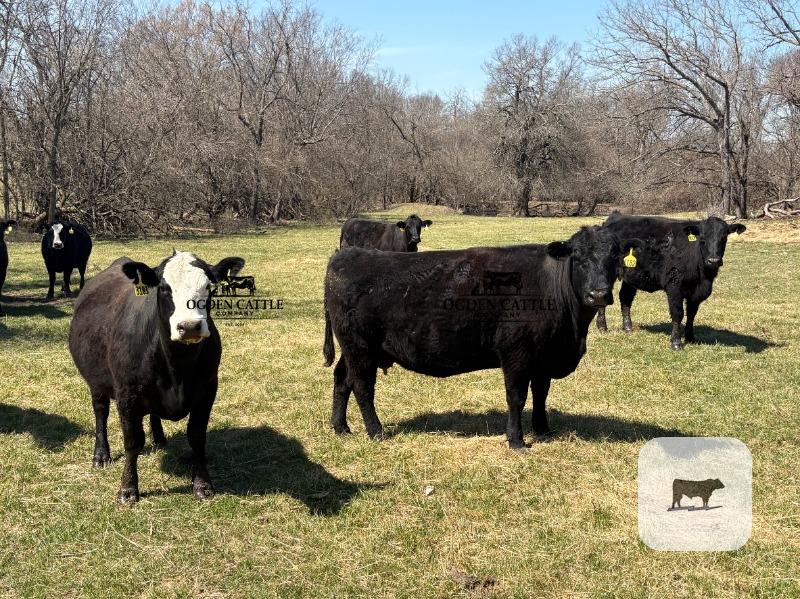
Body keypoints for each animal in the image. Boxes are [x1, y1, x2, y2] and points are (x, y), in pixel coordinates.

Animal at [68, 251, 244, 503]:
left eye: (208, 286)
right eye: (164, 288)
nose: (189, 326)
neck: (177, 368)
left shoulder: (207, 391)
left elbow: (197, 438)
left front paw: (203, 484)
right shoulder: (126, 395)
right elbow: (133, 441)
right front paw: (128, 489)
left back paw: (159, 438)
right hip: (96, 382)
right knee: (100, 413)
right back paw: (101, 455)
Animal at [323, 226, 644, 449]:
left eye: (614, 257)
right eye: (578, 258)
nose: (597, 295)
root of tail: (345, 255)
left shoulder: (543, 356)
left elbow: (541, 393)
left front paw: (542, 430)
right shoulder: (516, 354)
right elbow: (517, 397)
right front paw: (516, 441)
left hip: (353, 349)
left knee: (341, 379)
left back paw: (341, 427)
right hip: (360, 348)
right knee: (362, 386)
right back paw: (376, 432)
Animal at [596, 213, 746, 350]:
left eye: (724, 238)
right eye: (702, 239)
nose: (713, 261)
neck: (703, 277)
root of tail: (614, 217)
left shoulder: (696, 293)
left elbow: (691, 314)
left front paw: (690, 337)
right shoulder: (674, 286)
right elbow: (678, 313)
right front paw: (676, 342)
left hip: (631, 276)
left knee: (625, 297)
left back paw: (627, 327)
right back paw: (602, 327)